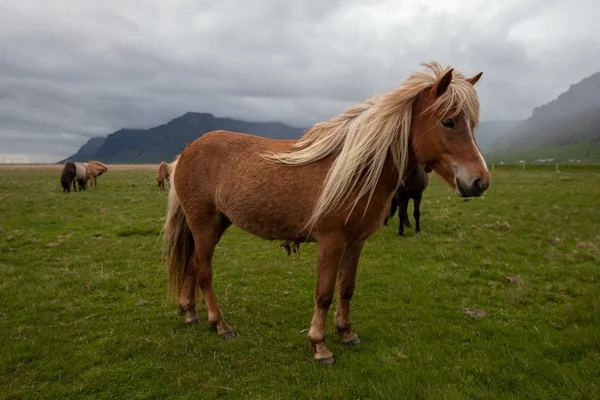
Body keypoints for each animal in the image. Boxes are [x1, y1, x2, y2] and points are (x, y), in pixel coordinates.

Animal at [162, 61, 490, 364]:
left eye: (472, 125)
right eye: (448, 122)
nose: (480, 181)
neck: (357, 170)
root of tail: (185, 153)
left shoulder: (355, 242)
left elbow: (346, 288)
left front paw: (346, 332)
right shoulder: (331, 241)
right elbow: (324, 293)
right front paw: (320, 345)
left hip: (216, 224)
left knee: (192, 265)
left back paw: (190, 313)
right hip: (203, 224)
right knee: (204, 272)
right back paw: (220, 324)